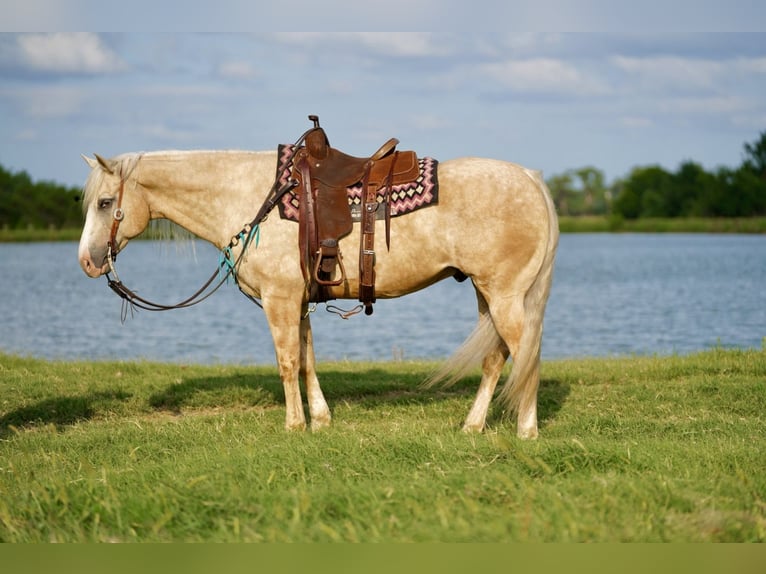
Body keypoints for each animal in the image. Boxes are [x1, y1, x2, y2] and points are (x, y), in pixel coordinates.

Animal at [76, 146, 560, 438]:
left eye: (105, 203)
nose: (87, 261)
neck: (253, 197)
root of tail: (531, 179)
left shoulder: (279, 300)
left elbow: (288, 362)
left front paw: (293, 426)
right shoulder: (300, 301)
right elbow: (308, 360)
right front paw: (320, 420)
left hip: (504, 295)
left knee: (526, 355)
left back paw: (527, 430)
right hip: (488, 295)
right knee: (496, 358)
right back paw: (473, 427)